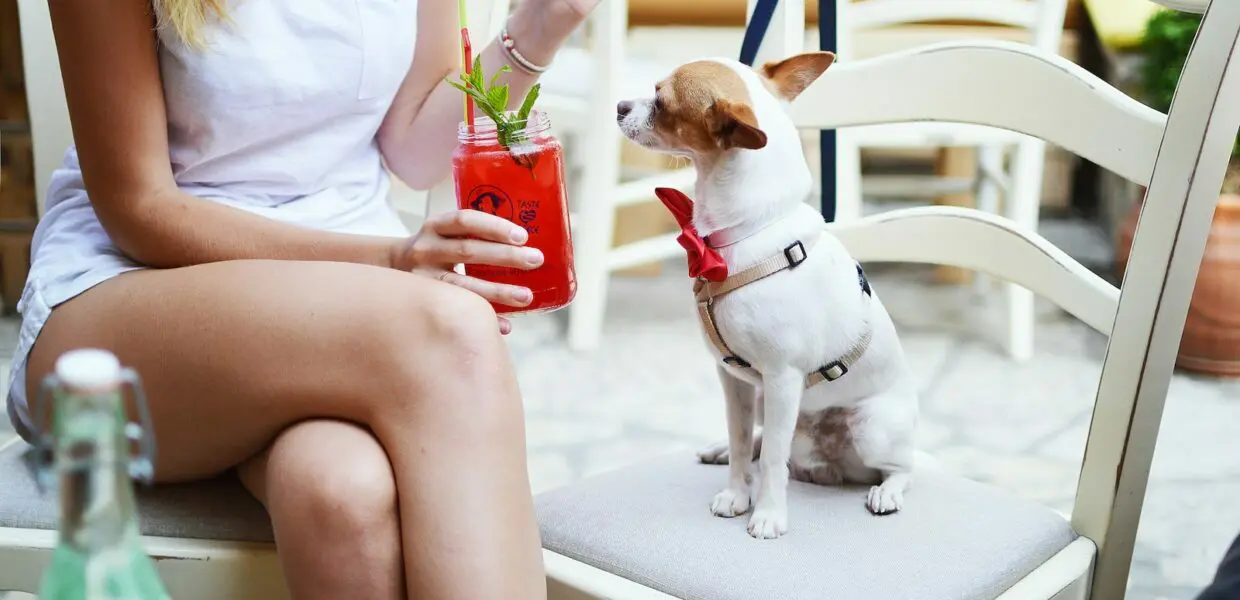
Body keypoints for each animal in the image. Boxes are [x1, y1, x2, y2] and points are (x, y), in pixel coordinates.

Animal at [615, 51, 917, 538]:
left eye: (660, 99)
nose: (620, 106)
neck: (745, 233)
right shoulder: (736, 381)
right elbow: (742, 443)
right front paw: (737, 494)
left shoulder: (781, 379)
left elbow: (775, 458)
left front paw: (769, 514)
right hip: (762, 401)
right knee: (758, 441)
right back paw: (721, 450)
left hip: (871, 428)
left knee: (901, 468)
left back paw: (886, 491)